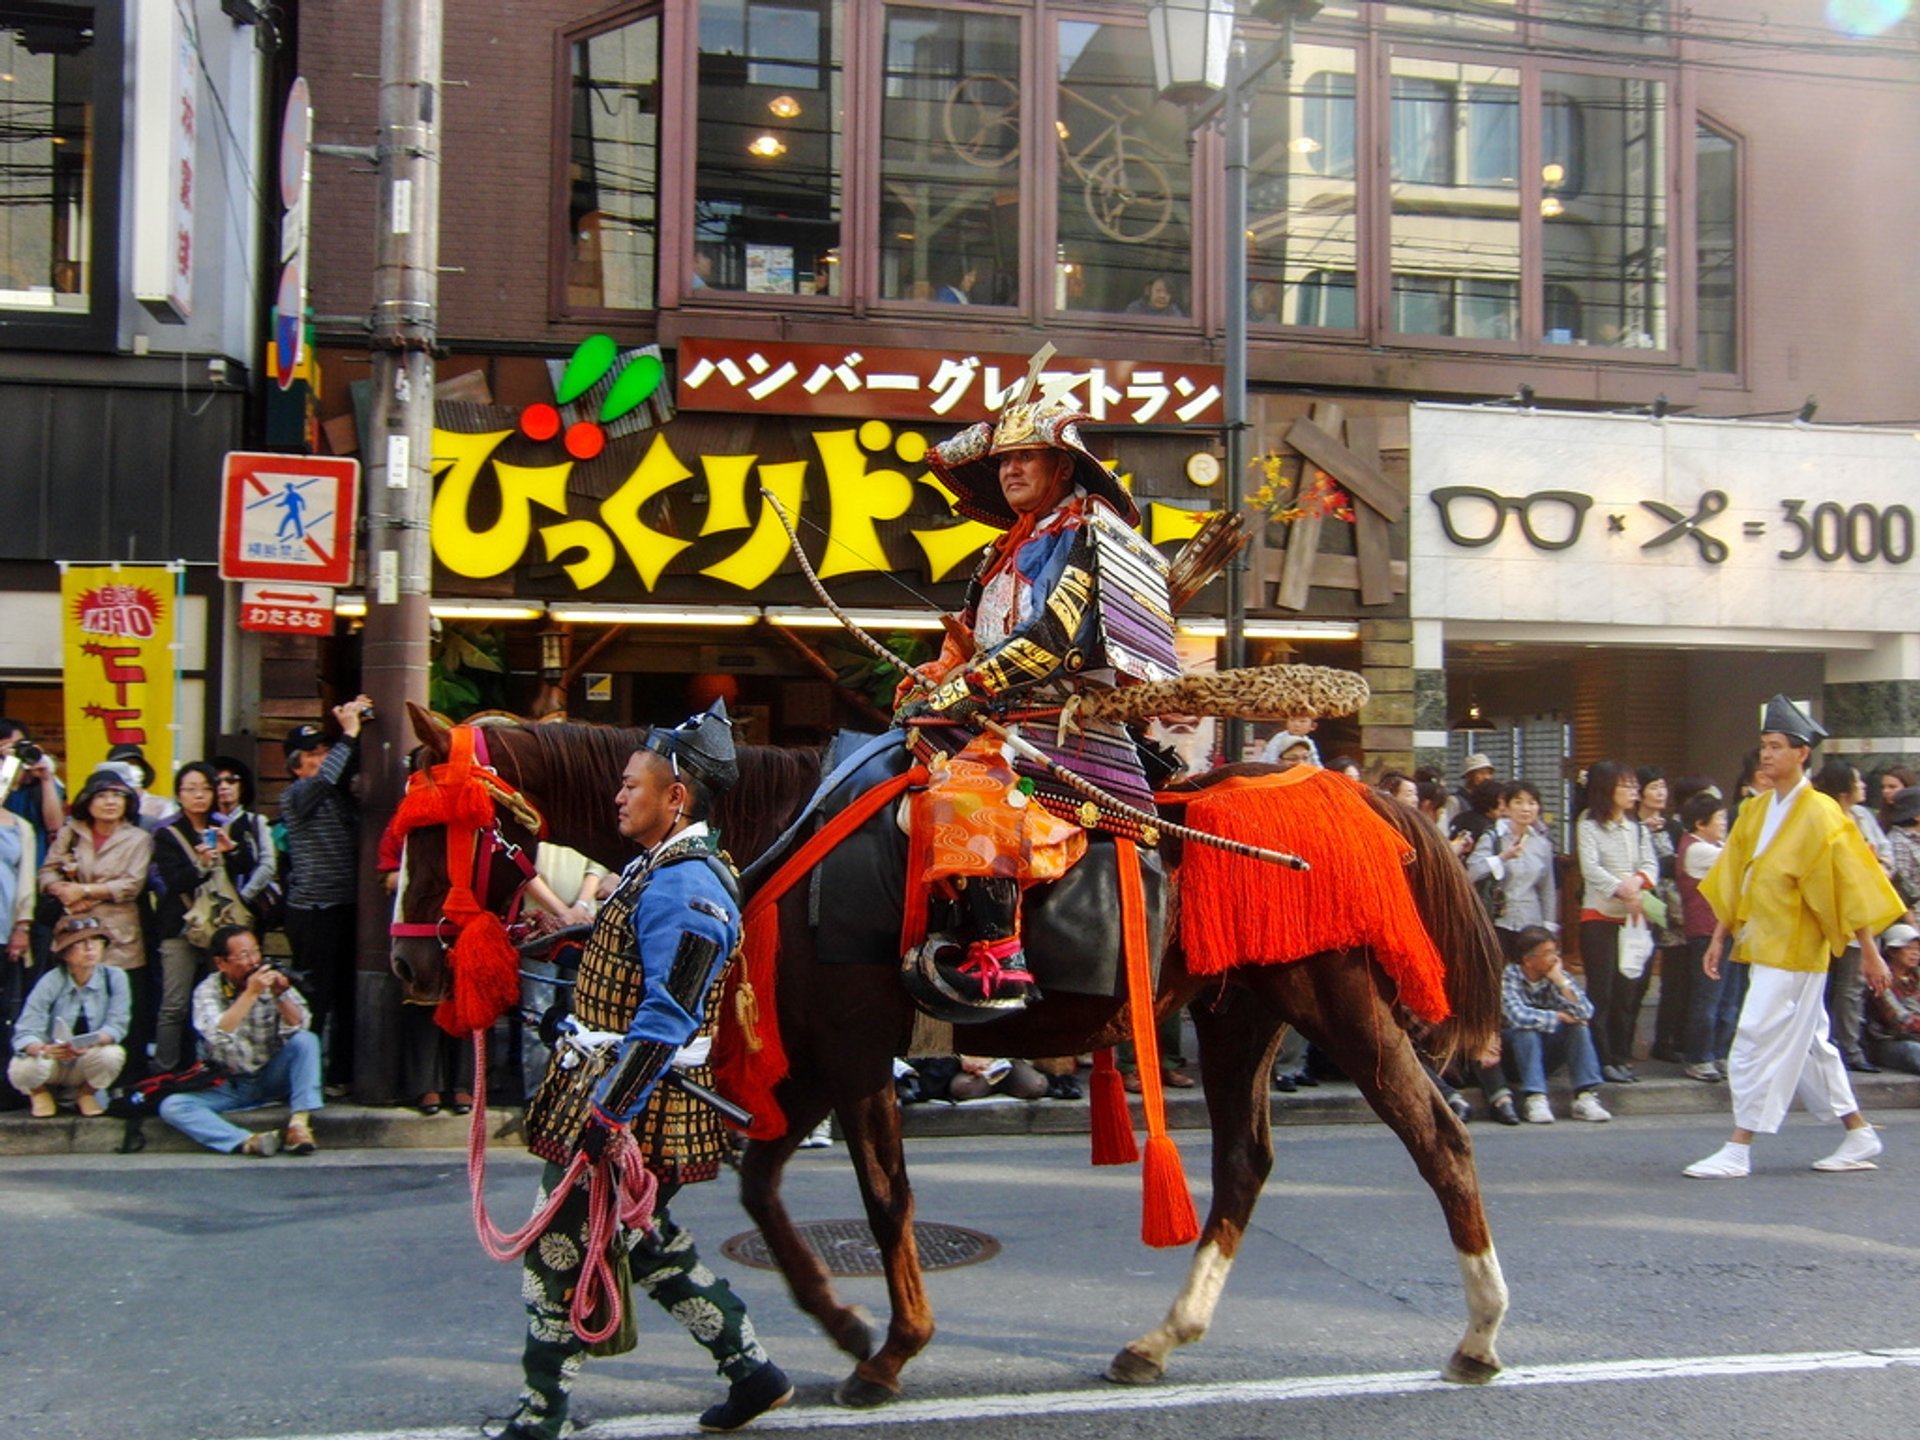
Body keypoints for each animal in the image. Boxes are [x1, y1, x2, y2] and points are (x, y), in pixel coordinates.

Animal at [393, 710, 1512, 1413]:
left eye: (446, 831)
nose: (409, 963)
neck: (772, 829)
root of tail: (1366, 800)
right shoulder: (816, 1063)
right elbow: (760, 1189)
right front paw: (843, 1326)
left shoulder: (852, 1052)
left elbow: (886, 1197)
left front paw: (890, 1351)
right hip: (1240, 1013)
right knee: (1244, 1162)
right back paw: (1159, 1339)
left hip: (1340, 999)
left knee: (1439, 1139)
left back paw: (1479, 1335)